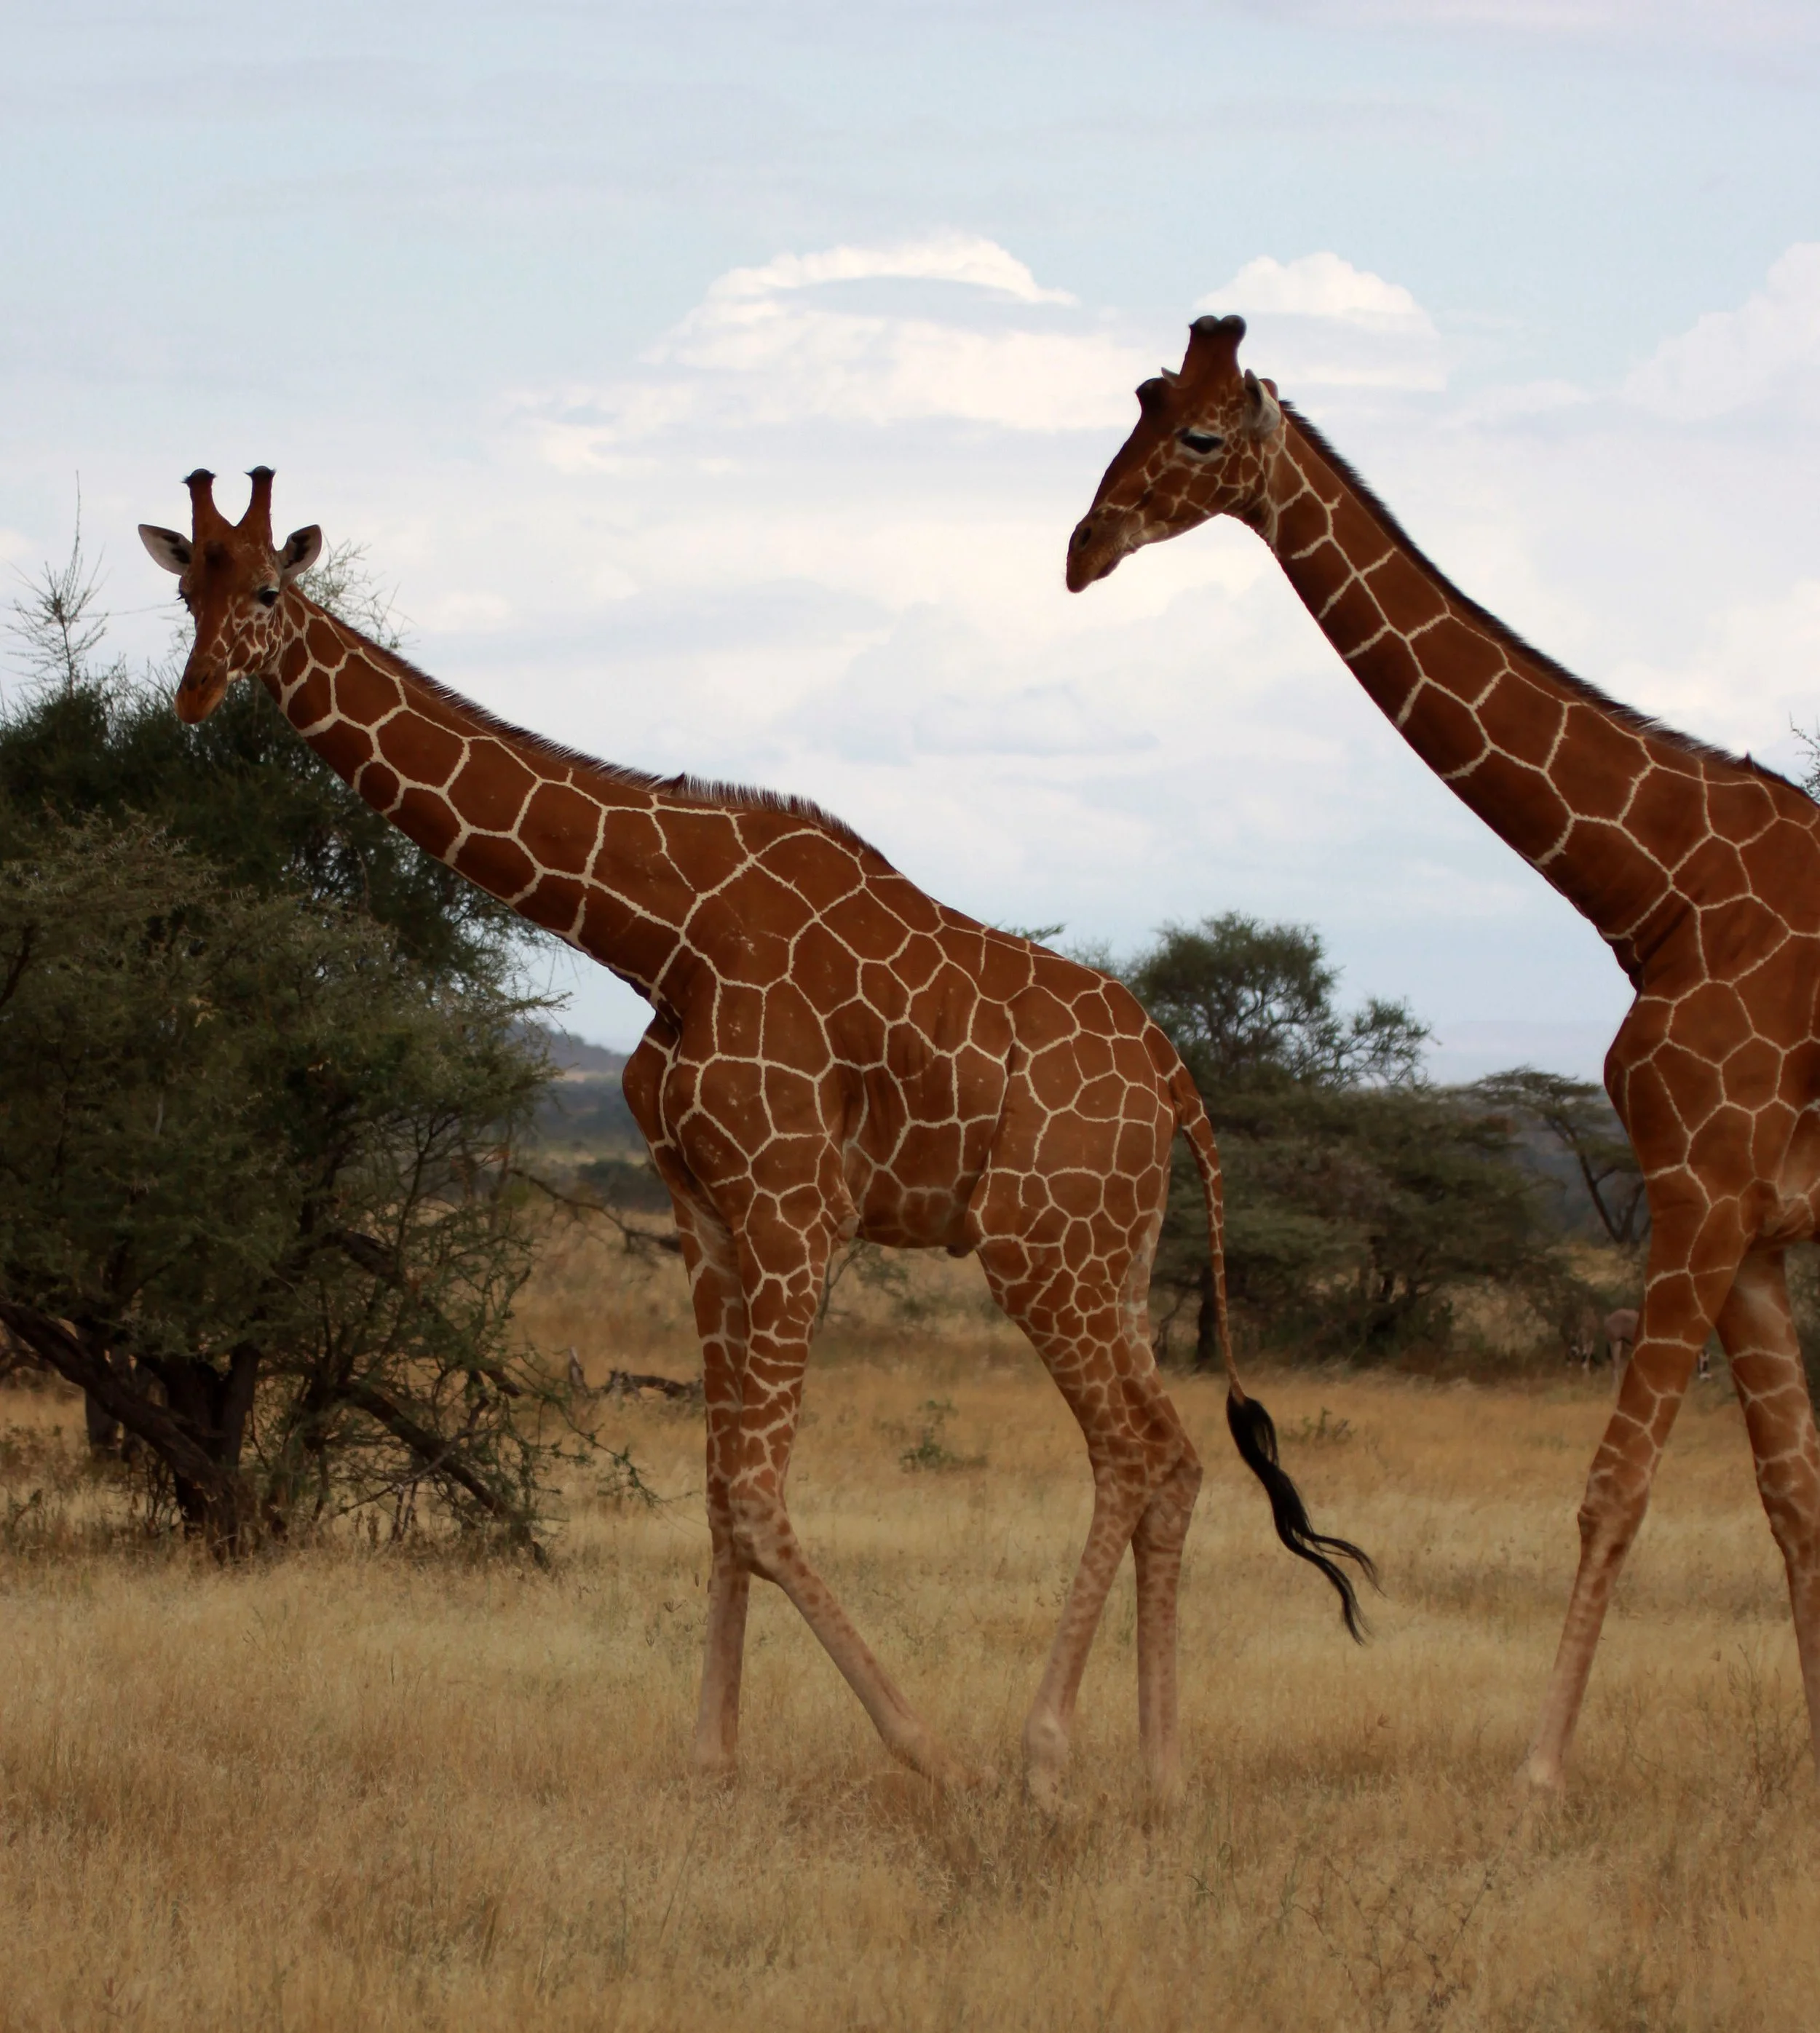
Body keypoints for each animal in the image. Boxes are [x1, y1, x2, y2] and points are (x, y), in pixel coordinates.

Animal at [139, 466, 1371, 1804]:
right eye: (186, 588)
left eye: (268, 587)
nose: (195, 691)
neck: (662, 927)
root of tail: (1177, 1077)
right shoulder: (706, 1213)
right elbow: (720, 1495)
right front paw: (713, 1760)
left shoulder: (793, 1205)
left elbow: (760, 1494)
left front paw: (923, 1748)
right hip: (1116, 1253)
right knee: (1177, 1458)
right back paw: (1160, 1770)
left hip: (1039, 1247)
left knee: (1138, 1453)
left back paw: (1043, 1756)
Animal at [1065, 311, 1820, 1795]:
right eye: (1136, 402)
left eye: (1199, 432)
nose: (1084, 546)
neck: (1663, 889)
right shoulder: (1753, 1222)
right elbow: (1792, 1495)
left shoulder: (1702, 1193)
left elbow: (1616, 1485)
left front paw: (1537, 1775)